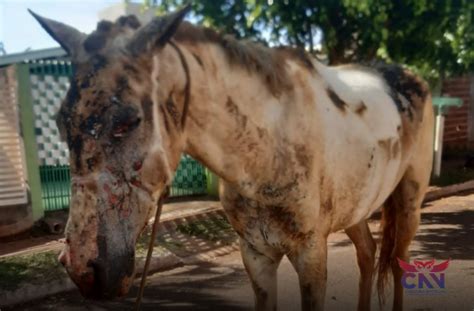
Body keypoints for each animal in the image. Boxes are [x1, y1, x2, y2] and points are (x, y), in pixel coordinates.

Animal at [31, 6, 434, 310]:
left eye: (128, 121)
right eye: (60, 123)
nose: (83, 269)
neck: (267, 149)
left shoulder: (311, 255)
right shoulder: (255, 255)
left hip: (409, 203)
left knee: (398, 262)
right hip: (357, 206)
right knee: (367, 254)